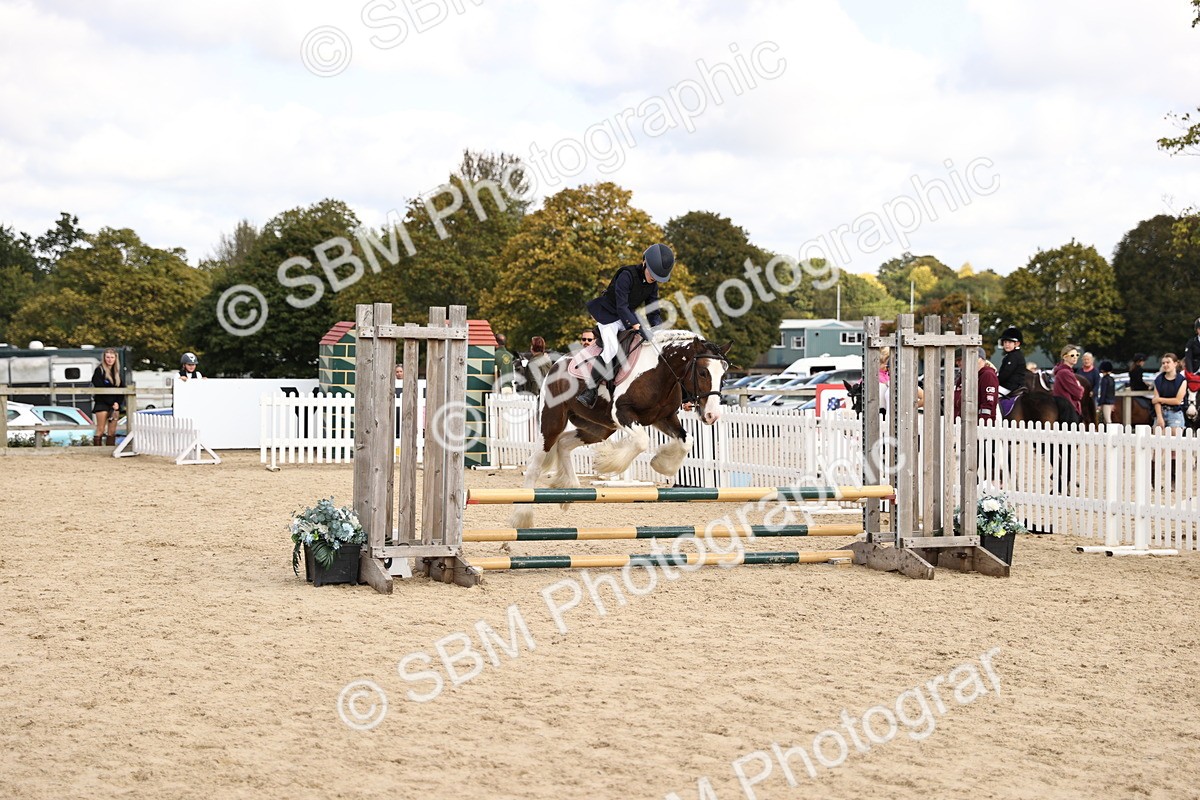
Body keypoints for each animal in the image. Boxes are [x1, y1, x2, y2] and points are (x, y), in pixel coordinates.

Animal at [510, 330, 733, 528]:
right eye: (703, 372)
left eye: (724, 375)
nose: (712, 415)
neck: (660, 371)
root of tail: (556, 364)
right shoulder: (623, 413)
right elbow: (642, 441)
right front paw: (609, 463)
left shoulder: (664, 418)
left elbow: (687, 441)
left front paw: (661, 465)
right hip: (552, 422)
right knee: (535, 465)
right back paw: (523, 516)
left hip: (599, 428)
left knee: (564, 443)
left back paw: (569, 489)